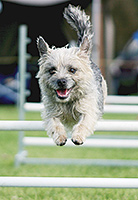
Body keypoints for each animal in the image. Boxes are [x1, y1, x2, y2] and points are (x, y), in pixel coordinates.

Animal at [36, 4, 106, 145]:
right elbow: (54, 123)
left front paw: (78, 136)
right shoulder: (51, 112)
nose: (61, 81)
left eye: (72, 70)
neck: (68, 102)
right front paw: (60, 137)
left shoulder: (89, 109)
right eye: (52, 70)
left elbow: (84, 122)